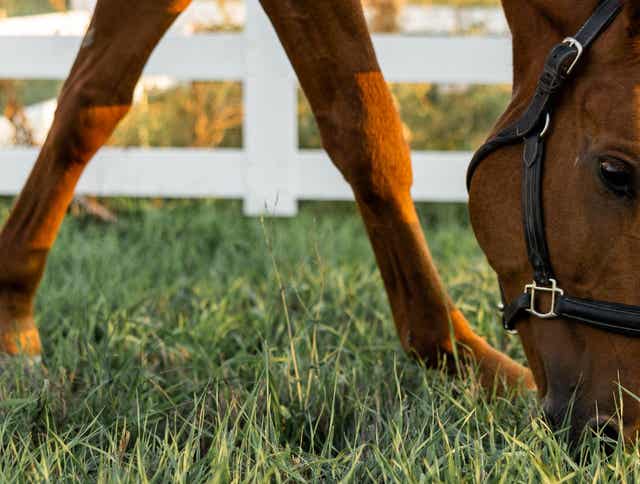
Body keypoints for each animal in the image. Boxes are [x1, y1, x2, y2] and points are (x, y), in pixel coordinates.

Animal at [0, 0, 636, 446]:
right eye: (616, 173)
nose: (620, 429)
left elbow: (91, 98)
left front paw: (12, 305)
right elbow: (365, 130)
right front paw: (460, 357)